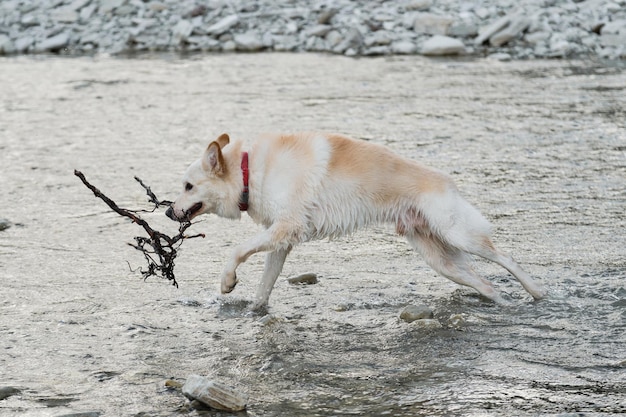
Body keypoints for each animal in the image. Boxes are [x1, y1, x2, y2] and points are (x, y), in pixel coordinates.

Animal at [167, 132, 544, 308]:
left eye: (187, 186)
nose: (169, 212)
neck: (251, 170)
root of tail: (446, 181)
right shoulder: (282, 239)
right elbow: (265, 285)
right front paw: (254, 311)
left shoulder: (287, 228)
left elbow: (236, 250)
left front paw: (227, 283)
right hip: (441, 261)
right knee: (487, 284)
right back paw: (505, 303)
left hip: (458, 234)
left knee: (507, 258)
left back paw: (537, 292)